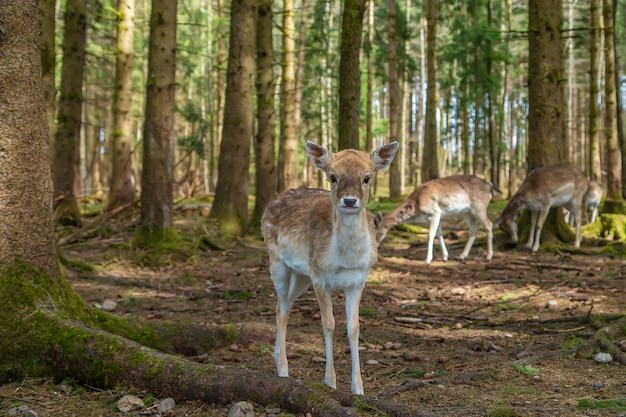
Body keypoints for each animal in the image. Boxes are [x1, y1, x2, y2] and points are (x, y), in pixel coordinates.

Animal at [260, 140, 398, 394]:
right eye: (333, 177)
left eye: (367, 177)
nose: (350, 201)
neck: (345, 260)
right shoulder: (320, 278)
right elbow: (329, 324)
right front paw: (330, 382)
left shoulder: (358, 280)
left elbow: (354, 327)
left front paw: (358, 388)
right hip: (278, 262)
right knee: (281, 309)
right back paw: (283, 370)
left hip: (301, 275)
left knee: (283, 306)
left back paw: (277, 360)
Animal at [372, 174, 500, 264]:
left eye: (376, 233)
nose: (374, 247)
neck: (416, 207)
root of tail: (490, 185)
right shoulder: (436, 216)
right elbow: (439, 234)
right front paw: (445, 257)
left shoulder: (435, 213)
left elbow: (431, 235)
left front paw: (428, 260)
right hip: (467, 212)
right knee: (474, 228)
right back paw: (462, 256)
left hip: (479, 206)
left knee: (489, 225)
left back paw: (488, 256)